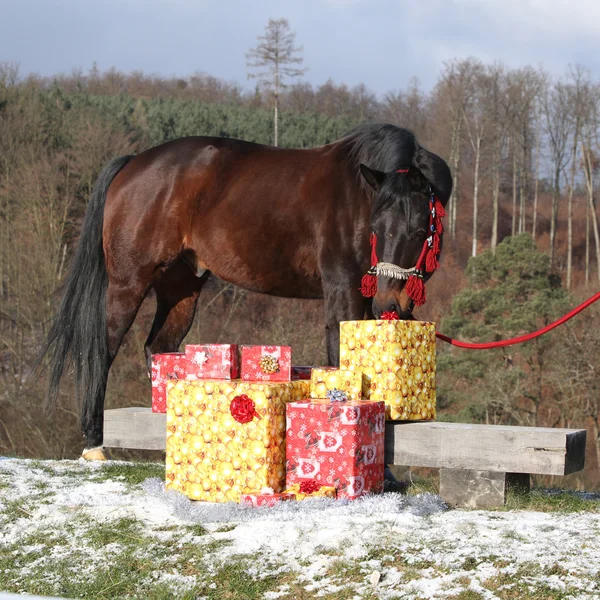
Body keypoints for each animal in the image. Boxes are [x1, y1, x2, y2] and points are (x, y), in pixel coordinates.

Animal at [39, 123, 450, 460]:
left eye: (419, 231)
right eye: (376, 227)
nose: (388, 303)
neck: (356, 193)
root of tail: (133, 163)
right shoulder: (343, 290)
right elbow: (339, 357)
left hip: (181, 288)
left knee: (159, 347)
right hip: (129, 283)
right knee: (101, 350)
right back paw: (93, 443)